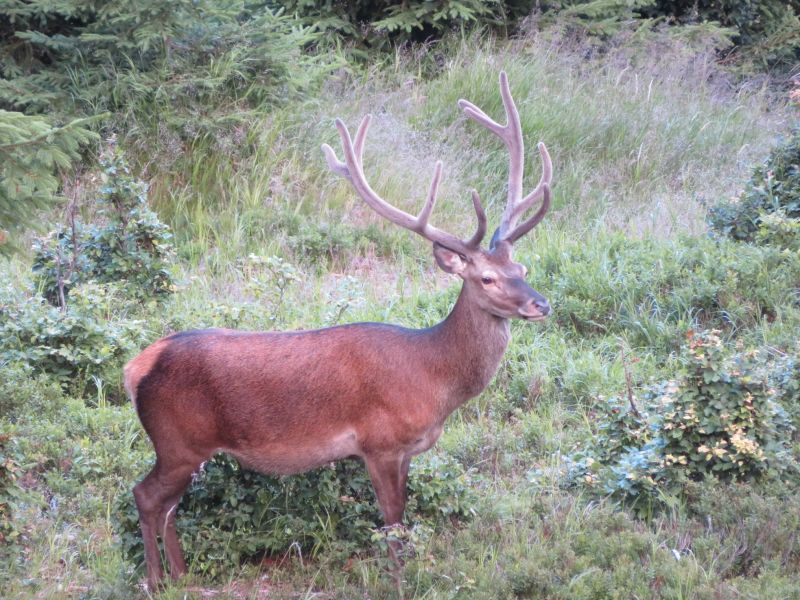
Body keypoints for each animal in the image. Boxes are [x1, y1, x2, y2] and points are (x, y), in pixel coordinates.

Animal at [126, 71, 552, 592]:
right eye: (487, 278)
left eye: (522, 267)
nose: (540, 303)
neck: (434, 379)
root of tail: (136, 366)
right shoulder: (380, 441)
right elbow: (393, 522)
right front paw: (400, 584)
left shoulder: (408, 449)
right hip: (176, 439)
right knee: (147, 496)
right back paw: (155, 581)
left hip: (185, 448)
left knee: (168, 505)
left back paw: (182, 576)